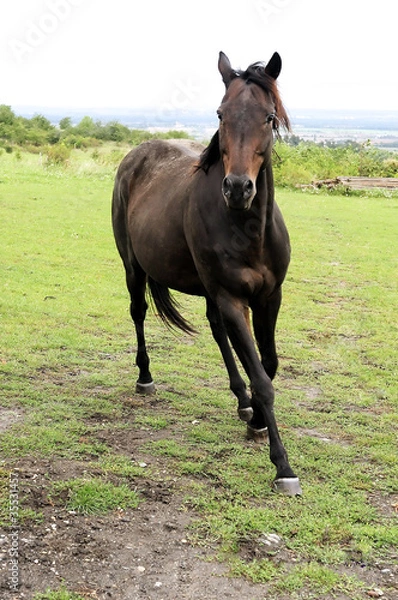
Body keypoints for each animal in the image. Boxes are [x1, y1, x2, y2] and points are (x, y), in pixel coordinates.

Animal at [112, 51, 302, 494]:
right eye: (220, 113)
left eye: (269, 117)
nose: (237, 188)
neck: (247, 229)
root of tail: (135, 155)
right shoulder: (232, 298)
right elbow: (263, 380)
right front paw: (283, 466)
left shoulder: (268, 298)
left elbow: (267, 365)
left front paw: (254, 418)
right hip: (134, 268)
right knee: (138, 313)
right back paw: (145, 377)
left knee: (217, 330)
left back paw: (241, 401)